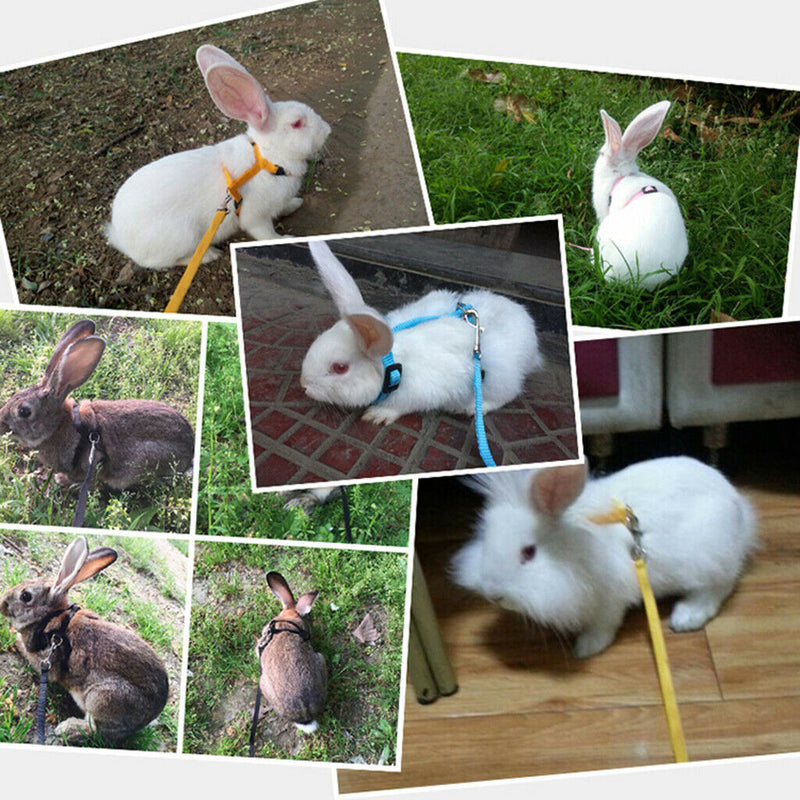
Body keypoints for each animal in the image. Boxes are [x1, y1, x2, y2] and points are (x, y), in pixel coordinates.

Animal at [0, 318, 195, 490]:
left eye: (24, 411)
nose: (1, 424)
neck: (59, 425)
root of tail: (189, 454)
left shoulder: (94, 458)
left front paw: (62, 480)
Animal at [0, 536, 169, 744]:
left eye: (25, 596)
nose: (2, 603)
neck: (51, 617)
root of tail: (152, 714)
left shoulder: (47, 659)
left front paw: (14, 638)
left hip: (102, 698)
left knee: (96, 730)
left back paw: (67, 729)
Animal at [105, 44, 331, 270]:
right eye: (297, 123)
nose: (327, 130)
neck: (267, 159)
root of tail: (120, 237)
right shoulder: (255, 216)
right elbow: (265, 234)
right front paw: (284, 239)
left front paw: (296, 203)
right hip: (183, 237)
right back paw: (210, 255)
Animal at [300, 240, 544, 426]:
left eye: (340, 368)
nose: (303, 385)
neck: (394, 366)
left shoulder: (419, 394)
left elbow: (401, 407)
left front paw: (377, 415)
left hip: (500, 379)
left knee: (505, 395)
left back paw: (470, 408)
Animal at [451, 456, 756, 658]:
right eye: (486, 537)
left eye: (528, 552)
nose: (493, 594)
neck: (573, 547)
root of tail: (738, 507)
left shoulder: (610, 599)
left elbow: (604, 625)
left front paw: (586, 648)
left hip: (706, 557)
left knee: (718, 587)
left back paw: (685, 617)